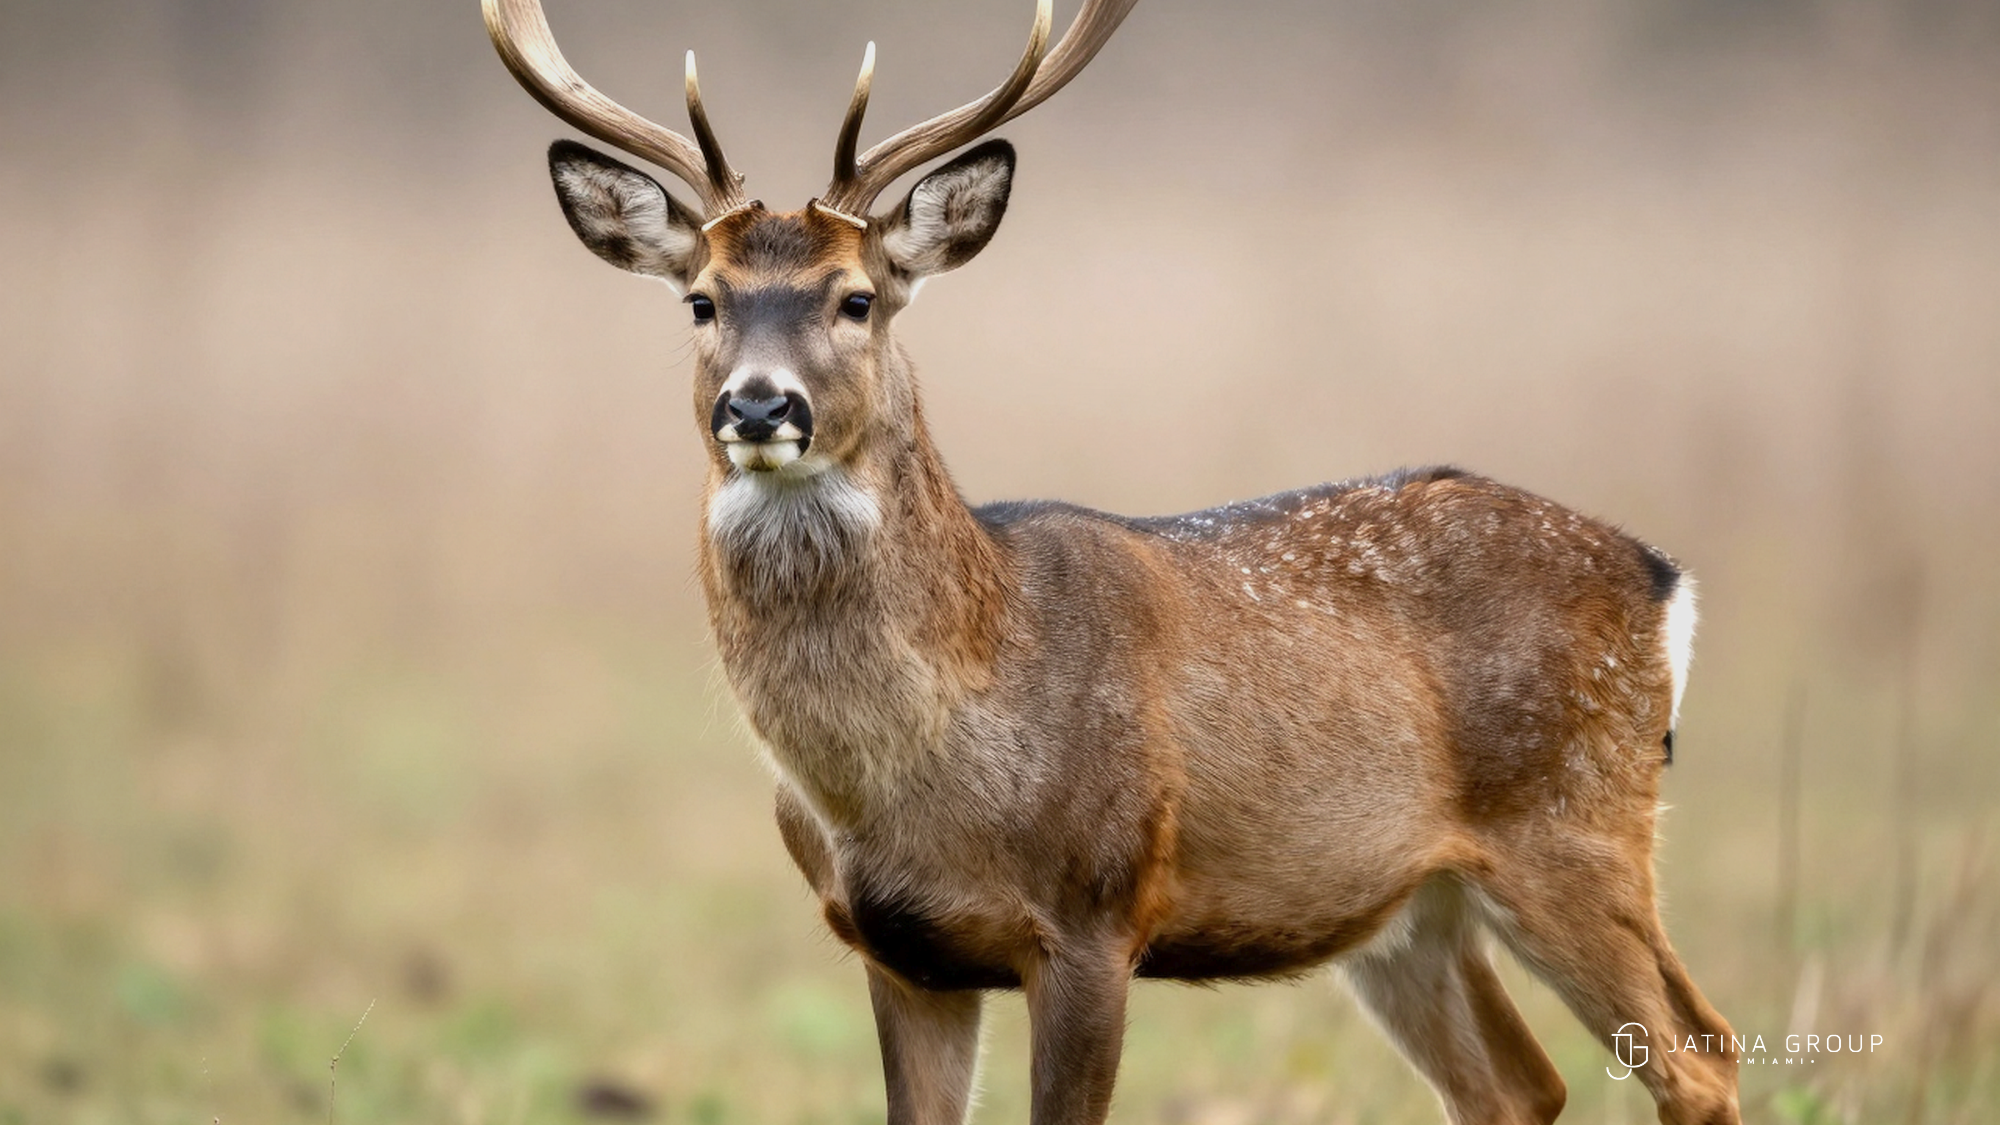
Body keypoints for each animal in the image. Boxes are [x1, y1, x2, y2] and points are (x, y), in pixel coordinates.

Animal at [481, 1, 1743, 1122]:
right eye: (702, 302)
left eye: (857, 299)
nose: (757, 404)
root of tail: (1659, 578)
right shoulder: (895, 950)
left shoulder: (1095, 912)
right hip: (1410, 908)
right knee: (1515, 1086)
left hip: (1575, 822)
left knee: (1699, 1054)